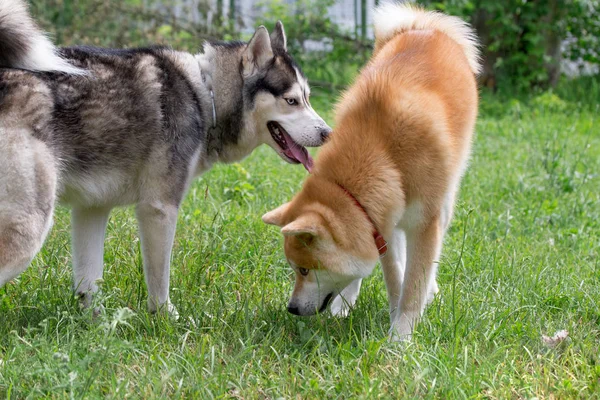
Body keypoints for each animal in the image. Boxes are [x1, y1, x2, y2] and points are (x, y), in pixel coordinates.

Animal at [0, 0, 330, 314]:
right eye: (291, 101)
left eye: (307, 98)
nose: (327, 133)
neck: (204, 96)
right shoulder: (159, 209)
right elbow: (159, 280)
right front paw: (165, 319)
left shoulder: (91, 209)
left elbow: (88, 282)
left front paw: (96, 323)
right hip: (29, 230)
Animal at [262, 3, 478, 340]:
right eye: (295, 269)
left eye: (305, 269)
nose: (292, 308)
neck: (382, 152)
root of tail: (422, 27)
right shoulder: (380, 226)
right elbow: (393, 278)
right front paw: (390, 312)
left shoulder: (422, 224)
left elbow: (413, 284)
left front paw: (400, 337)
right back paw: (346, 302)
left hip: (444, 197)